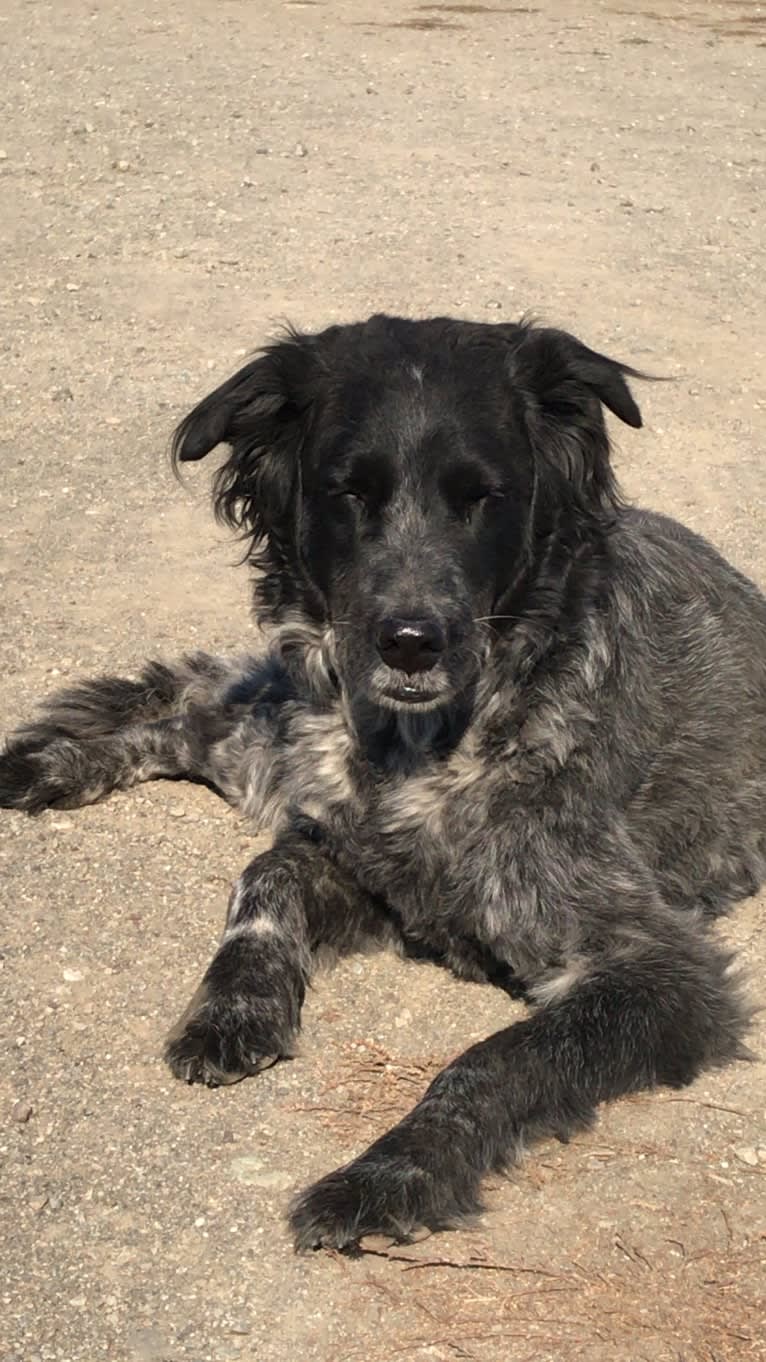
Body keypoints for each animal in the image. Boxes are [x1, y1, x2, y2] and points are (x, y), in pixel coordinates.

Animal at [1, 313, 763, 1247]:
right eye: (350, 492)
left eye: (482, 496)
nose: (409, 641)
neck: (422, 754)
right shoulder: (355, 851)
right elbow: (265, 878)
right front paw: (232, 1009)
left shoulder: (658, 969)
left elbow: (492, 1060)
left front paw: (387, 1173)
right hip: (274, 738)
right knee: (198, 692)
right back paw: (44, 759)